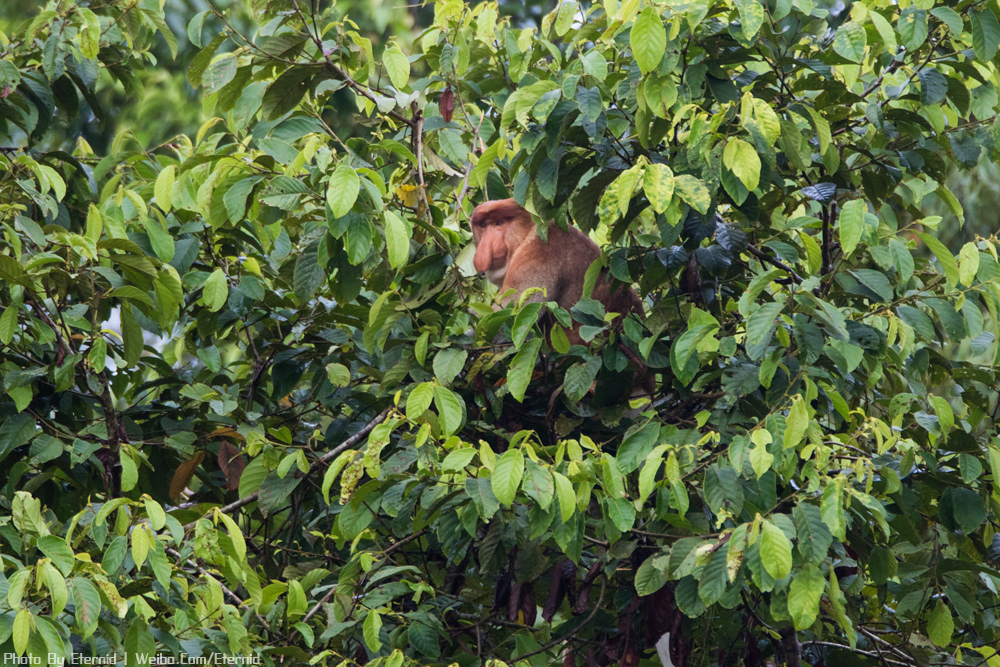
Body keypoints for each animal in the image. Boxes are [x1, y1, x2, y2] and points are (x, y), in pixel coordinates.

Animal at [470, 197, 652, 396]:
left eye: (499, 223)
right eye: (482, 226)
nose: (484, 249)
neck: (529, 232)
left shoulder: (539, 254)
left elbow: (506, 326)